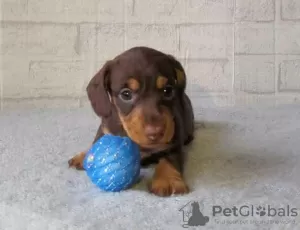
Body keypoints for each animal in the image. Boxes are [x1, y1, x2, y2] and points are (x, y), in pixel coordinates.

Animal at [68, 47, 195, 198]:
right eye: (126, 94)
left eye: (168, 90)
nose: (156, 132)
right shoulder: (106, 127)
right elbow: (97, 139)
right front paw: (85, 155)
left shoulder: (174, 138)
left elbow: (169, 159)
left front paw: (168, 180)